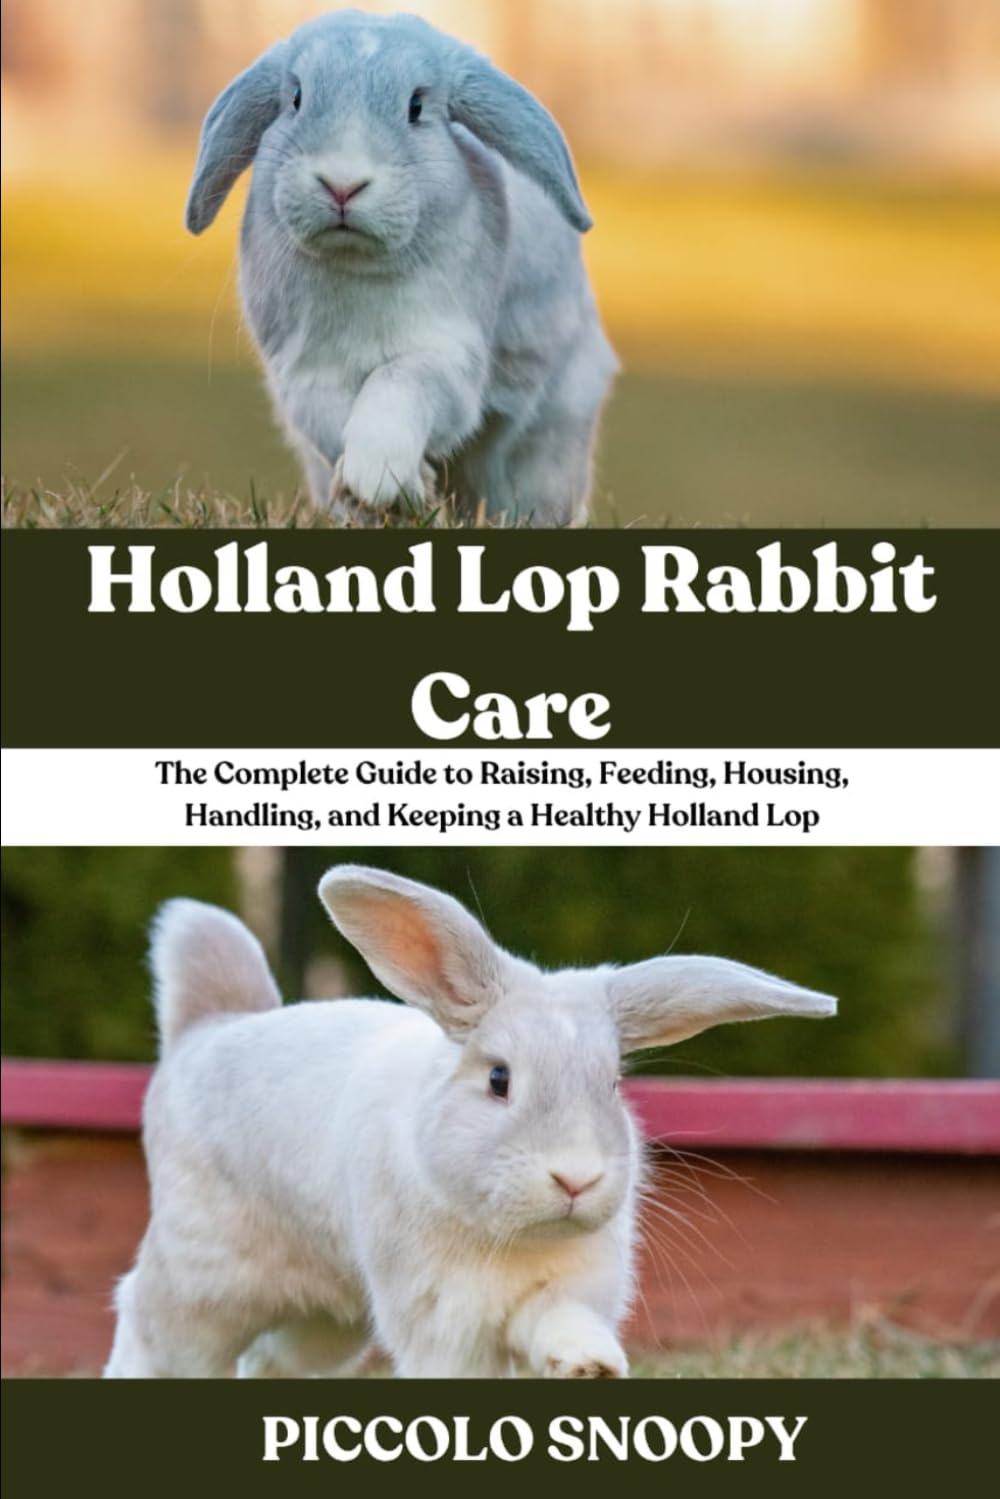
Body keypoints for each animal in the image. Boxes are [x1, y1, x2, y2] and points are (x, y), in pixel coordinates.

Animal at [105, 865, 836, 1379]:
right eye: (499, 1079)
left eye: (612, 1083)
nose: (576, 1179)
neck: (511, 1237)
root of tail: (205, 1030)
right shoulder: (442, 1322)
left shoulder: (564, 1291)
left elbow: (562, 1324)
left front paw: (589, 1365)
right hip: (202, 1282)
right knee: (148, 1329)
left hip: (329, 1318)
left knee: (269, 1360)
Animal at [185, 10, 618, 526]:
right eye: (296, 99)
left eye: (415, 107)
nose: (343, 184)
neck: (356, 263)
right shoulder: (306, 370)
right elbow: (331, 419)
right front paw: (404, 490)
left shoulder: (446, 357)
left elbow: (399, 385)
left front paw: (381, 476)